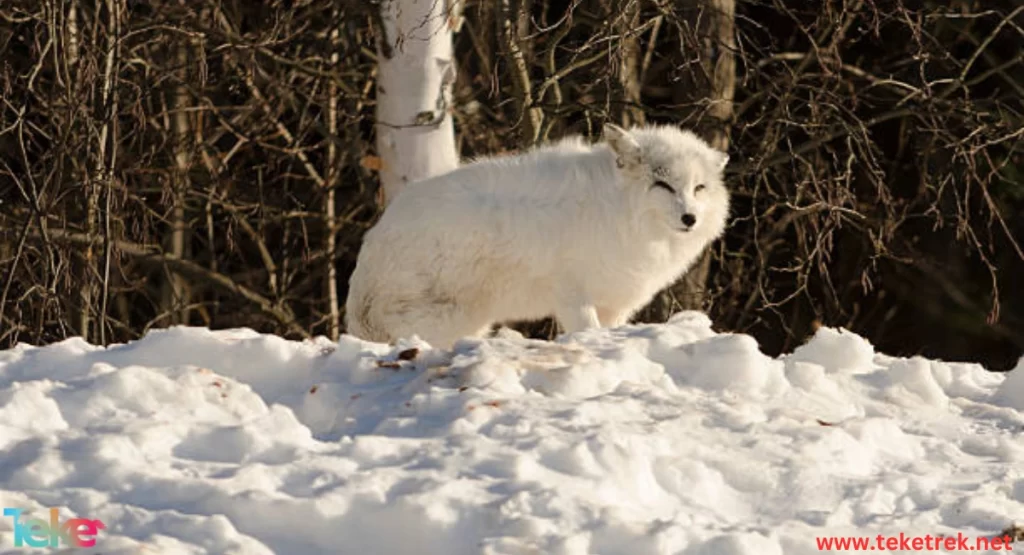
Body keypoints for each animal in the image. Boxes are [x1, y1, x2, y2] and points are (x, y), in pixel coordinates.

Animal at [348, 124, 733, 348]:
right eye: (663, 185)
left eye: (699, 188)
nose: (690, 218)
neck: (616, 210)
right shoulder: (573, 296)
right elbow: (586, 331)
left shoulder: (615, 304)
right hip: (454, 319)